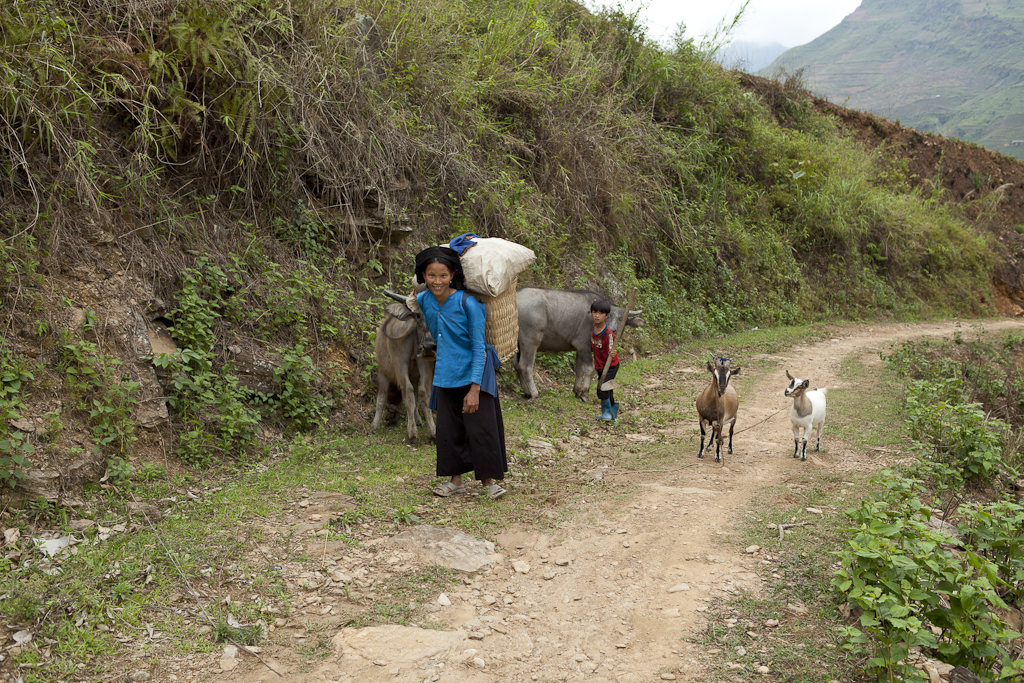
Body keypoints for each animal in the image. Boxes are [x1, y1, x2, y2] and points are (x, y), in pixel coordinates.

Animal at [370, 294, 434, 444]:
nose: (391, 419)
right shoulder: (415, 376)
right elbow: (416, 396)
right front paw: (418, 420)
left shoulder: (382, 372)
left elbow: (381, 399)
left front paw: (374, 426)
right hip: (425, 360)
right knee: (424, 392)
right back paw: (432, 432)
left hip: (399, 363)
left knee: (407, 391)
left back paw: (412, 434)